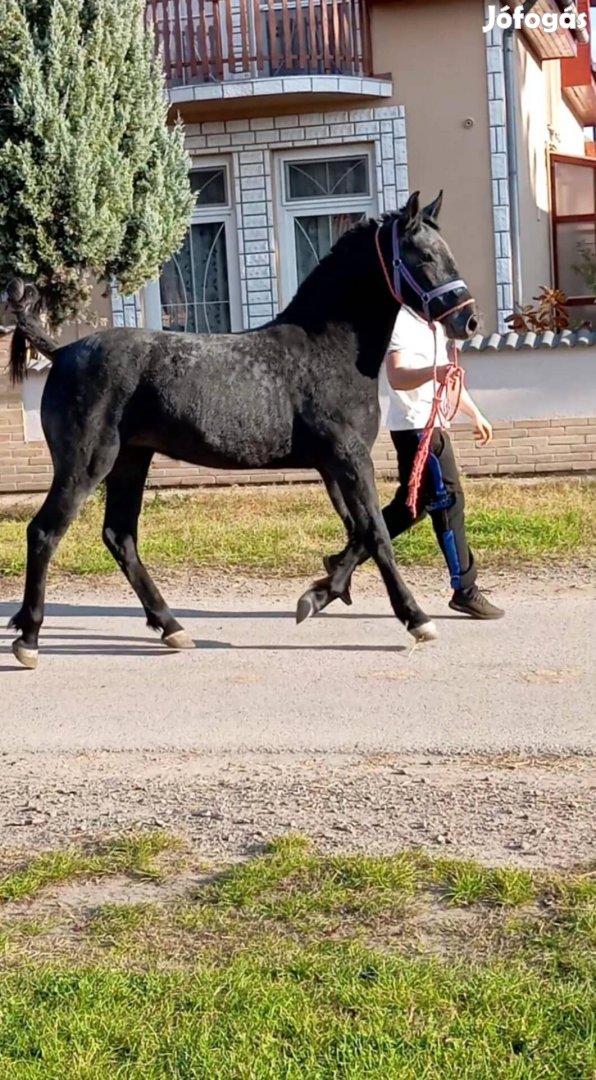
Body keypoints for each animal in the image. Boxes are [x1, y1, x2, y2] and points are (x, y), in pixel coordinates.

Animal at [6, 193, 477, 665]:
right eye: (424, 255)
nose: (468, 321)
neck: (327, 348)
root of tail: (62, 351)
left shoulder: (333, 466)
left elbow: (359, 531)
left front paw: (318, 595)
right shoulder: (349, 458)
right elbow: (377, 533)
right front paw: (416, 619)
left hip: (130, 460)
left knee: (120, 537)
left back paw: (171, 627)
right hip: (86, 463)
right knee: (45, 532)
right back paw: (28, 638)